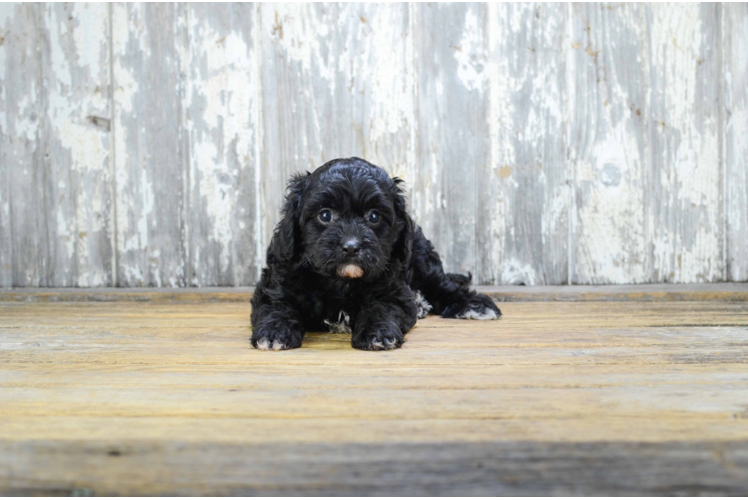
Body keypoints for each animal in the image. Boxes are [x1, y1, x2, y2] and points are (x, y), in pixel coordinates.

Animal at [251, 157, 502, 352]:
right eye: (325, 215)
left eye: (373, 216)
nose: (351, 246)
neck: (339, 281)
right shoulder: (277, 282)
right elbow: (277, 305)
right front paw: (273, 333)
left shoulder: (392, 289)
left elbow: (382, 307)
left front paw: (378, 334)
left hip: (421, 259)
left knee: (443, 286)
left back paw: (474, 305)